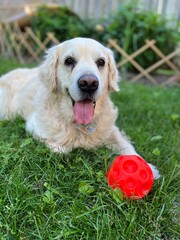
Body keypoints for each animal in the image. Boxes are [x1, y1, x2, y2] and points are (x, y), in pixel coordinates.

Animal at [0, 37, 159, 179]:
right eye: (69, 61)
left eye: (101, 62)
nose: (89, 83)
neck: (82, 125)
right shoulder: (34, 126)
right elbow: (62, 148)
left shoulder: (110, 129)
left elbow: (126, 145)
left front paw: (147, 167)